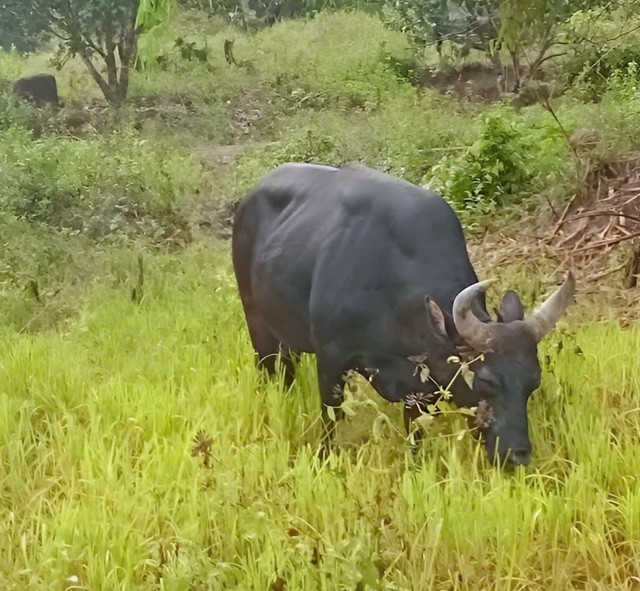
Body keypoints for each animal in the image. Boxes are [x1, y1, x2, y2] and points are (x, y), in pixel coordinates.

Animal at [231, 164, 576, 470]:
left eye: (532, 382)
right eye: (487, 380)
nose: (517, 455)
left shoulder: (420, 387)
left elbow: (415, 432)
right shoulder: (331, 360)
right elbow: (331, 418)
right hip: (257, 324)